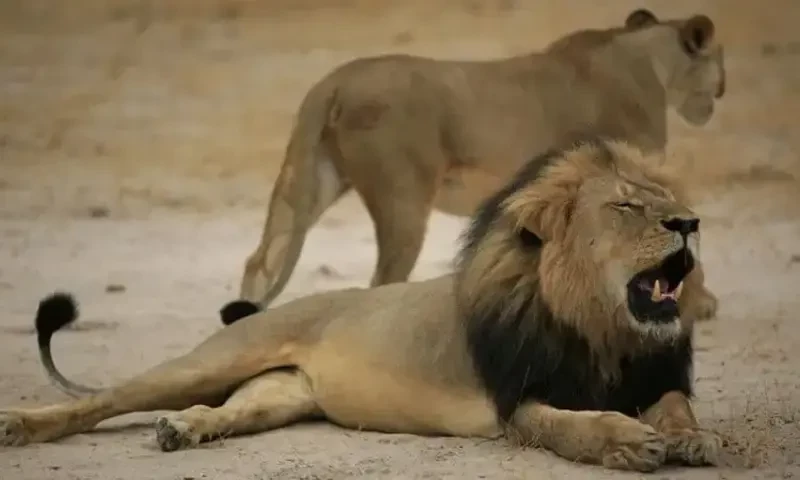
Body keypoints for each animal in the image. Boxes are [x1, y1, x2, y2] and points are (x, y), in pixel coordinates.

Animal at [1, 139, 722, 473]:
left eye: (667, 200)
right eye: (627, 205)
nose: (690, 222)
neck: (600, 328)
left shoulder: (654, 374)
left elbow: (677, 406)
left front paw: (692, 438)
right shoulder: (518, 401)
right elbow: (573, 427)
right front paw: (627, 442)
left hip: (278, 395)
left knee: (222, 411)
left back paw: (183, 430)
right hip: (208, 361)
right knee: (102, 400)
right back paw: (20, 425)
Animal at [232, 8, 724, 323]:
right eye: (719, 64)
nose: (719, 93)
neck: (650, 61)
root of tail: (333, 82)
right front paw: (698, 305)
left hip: (313, 179)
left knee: (262, 260)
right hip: (402, 197)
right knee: (381, 281)